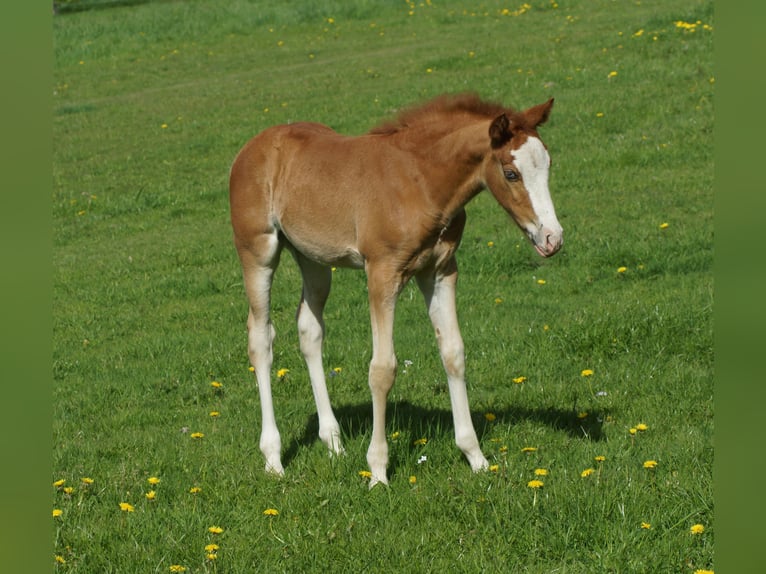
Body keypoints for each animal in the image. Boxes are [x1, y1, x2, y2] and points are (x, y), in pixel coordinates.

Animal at [229, 93, 563, 487]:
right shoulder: (382, 273)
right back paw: (273, 458)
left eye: (548, 165)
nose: (552, 238)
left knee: (309, 331)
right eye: (511, 173)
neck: (421, 181)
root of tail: (254, 145)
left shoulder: (440, 271)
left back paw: (334, 443)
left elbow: (454, 354)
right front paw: (377, 470)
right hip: (258, 251)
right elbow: (383, 368)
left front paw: (476, 457)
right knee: (260, 338)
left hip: (313, 259)